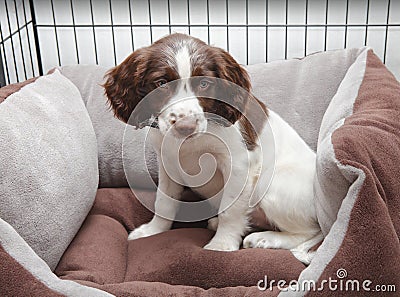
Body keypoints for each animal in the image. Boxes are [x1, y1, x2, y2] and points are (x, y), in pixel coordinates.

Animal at [103, 33, 322, 262]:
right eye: (161, 83)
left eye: (204, 83)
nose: (186, 126)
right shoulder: (167, 162)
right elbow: (164, 202)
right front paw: (153, 230)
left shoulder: (240, 165)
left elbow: (230, 210)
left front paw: (221, 245)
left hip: (270, 185)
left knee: (311, 231)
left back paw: (265, 238)